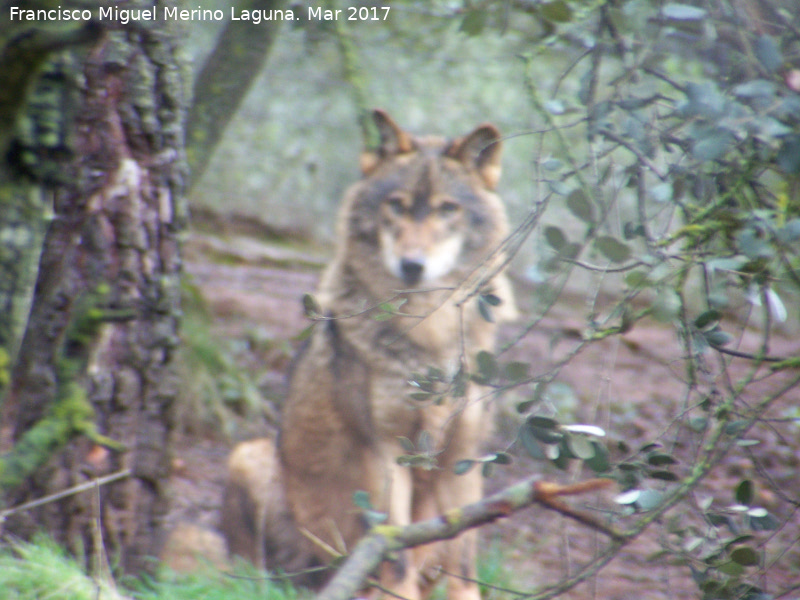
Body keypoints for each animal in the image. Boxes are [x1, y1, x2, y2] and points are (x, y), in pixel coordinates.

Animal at [220, 110, 520, 596]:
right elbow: (392, 552)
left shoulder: (462, 455)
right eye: (396, 205)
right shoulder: (383, 450)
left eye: (447, 209)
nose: (412, 265)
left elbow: (464, 557)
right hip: (248, 459)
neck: (429, 335)